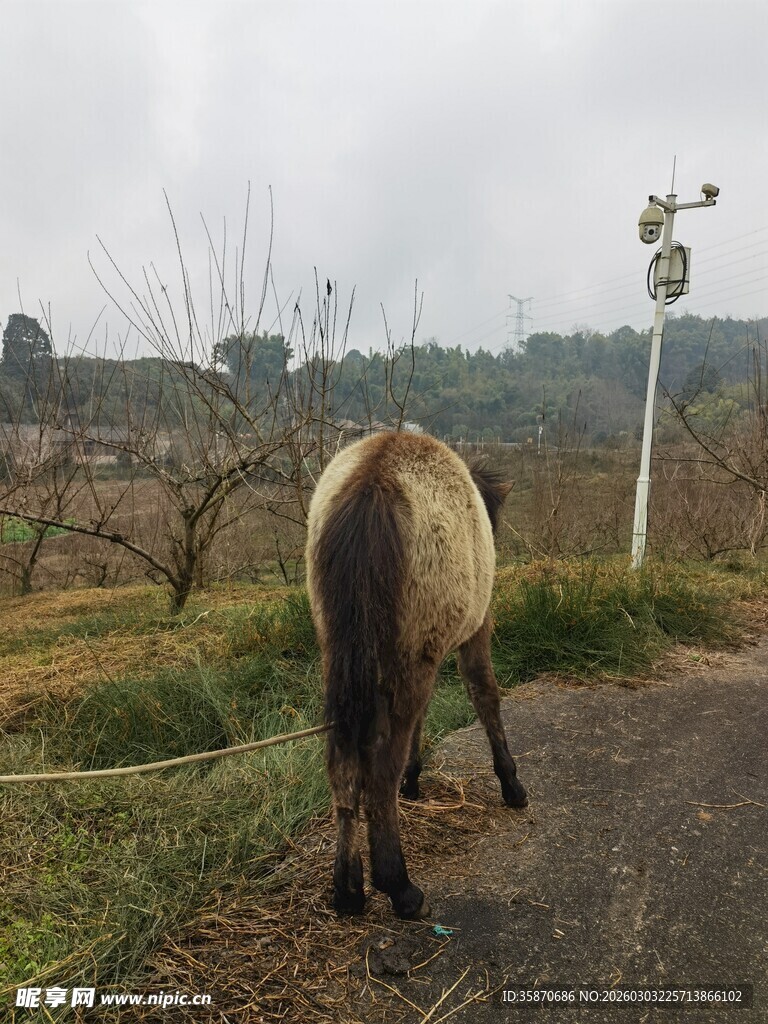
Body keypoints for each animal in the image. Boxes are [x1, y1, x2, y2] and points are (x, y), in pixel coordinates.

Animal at [305, 431, 528, 920]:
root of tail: (373, 481)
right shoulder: (473, 633)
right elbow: (485, 694)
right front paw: (511, 783)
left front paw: (414, 779)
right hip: (410, 661)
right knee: (380, 763)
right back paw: (399, 885)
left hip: (344, 655)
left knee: (343, 760)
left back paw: (347, 890)